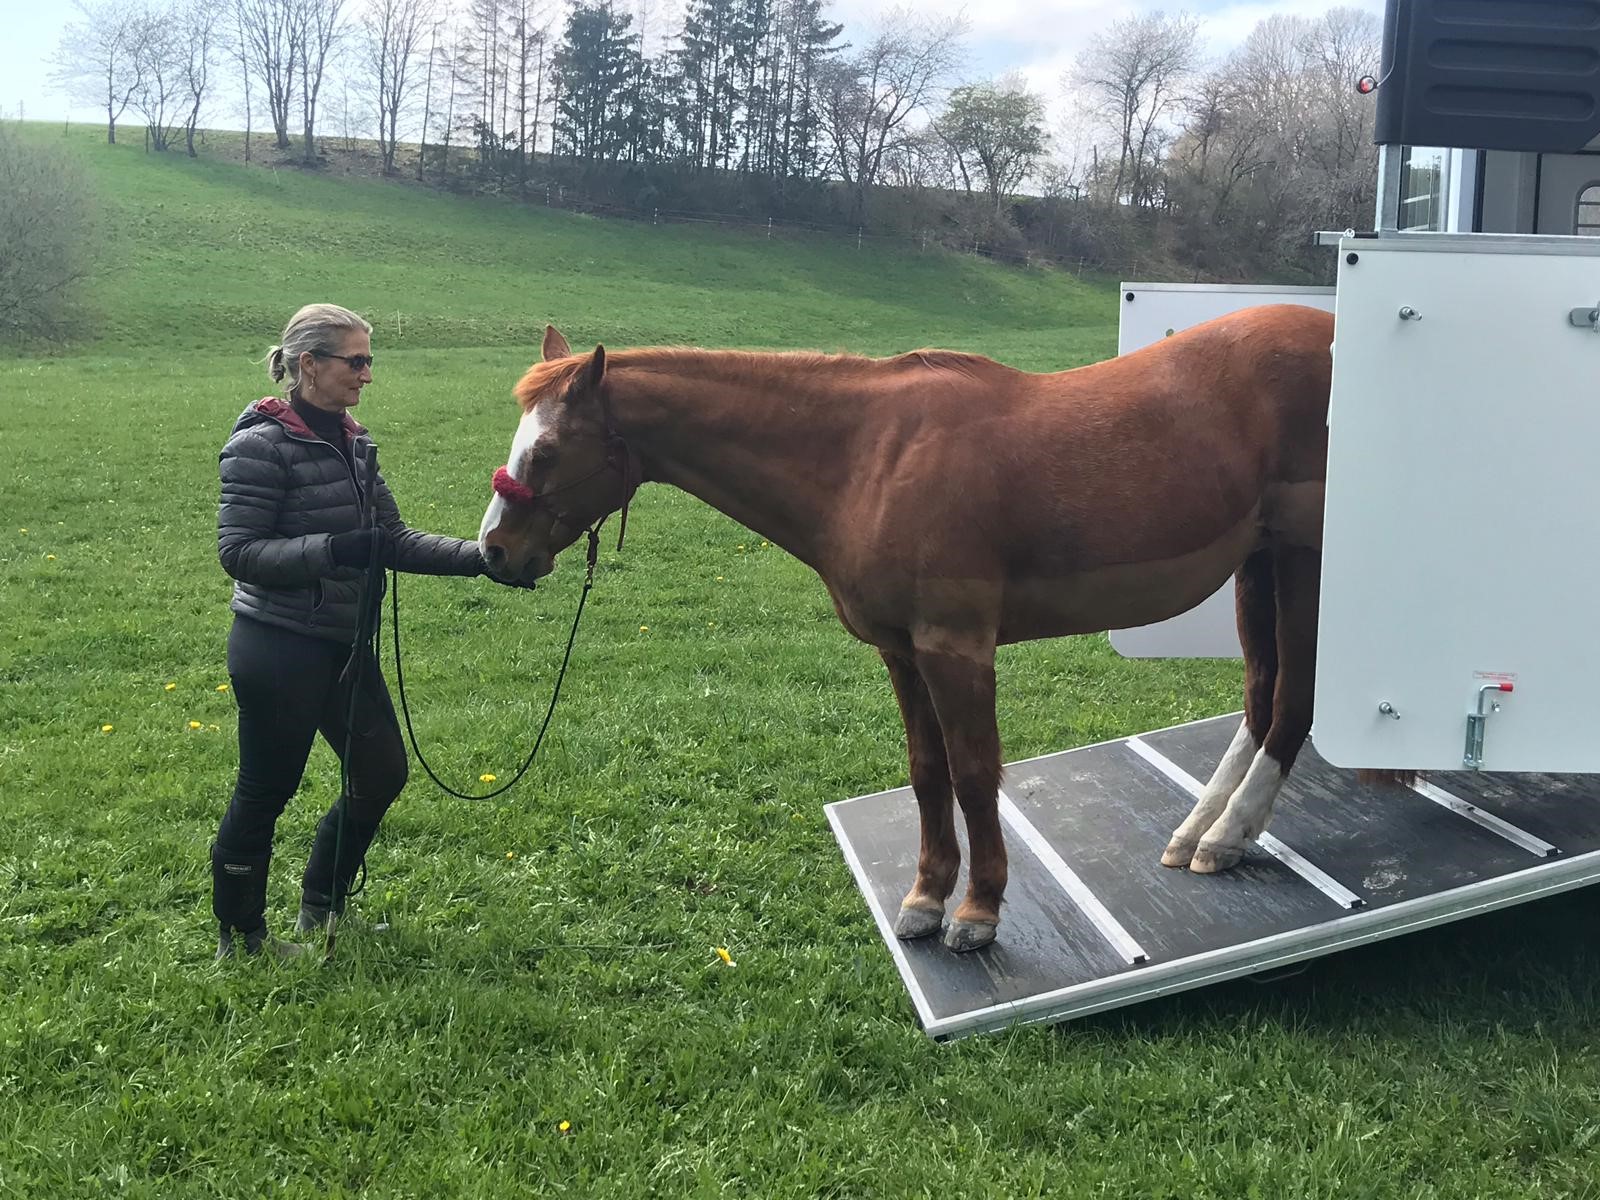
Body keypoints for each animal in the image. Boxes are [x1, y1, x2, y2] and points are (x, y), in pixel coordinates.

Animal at [480, 312, 1344, 960]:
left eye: (547, 450)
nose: (494, 551)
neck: (870, 458)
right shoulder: (901, 651)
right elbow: (928, 773)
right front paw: (928, 897)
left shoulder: (955, 647)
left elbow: (974, 773)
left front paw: (979, 910)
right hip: (1257, 563)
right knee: (1260, 698)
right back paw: (1200, 829)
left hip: (1305, 562)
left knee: (1294, 702)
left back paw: (1227, 835)